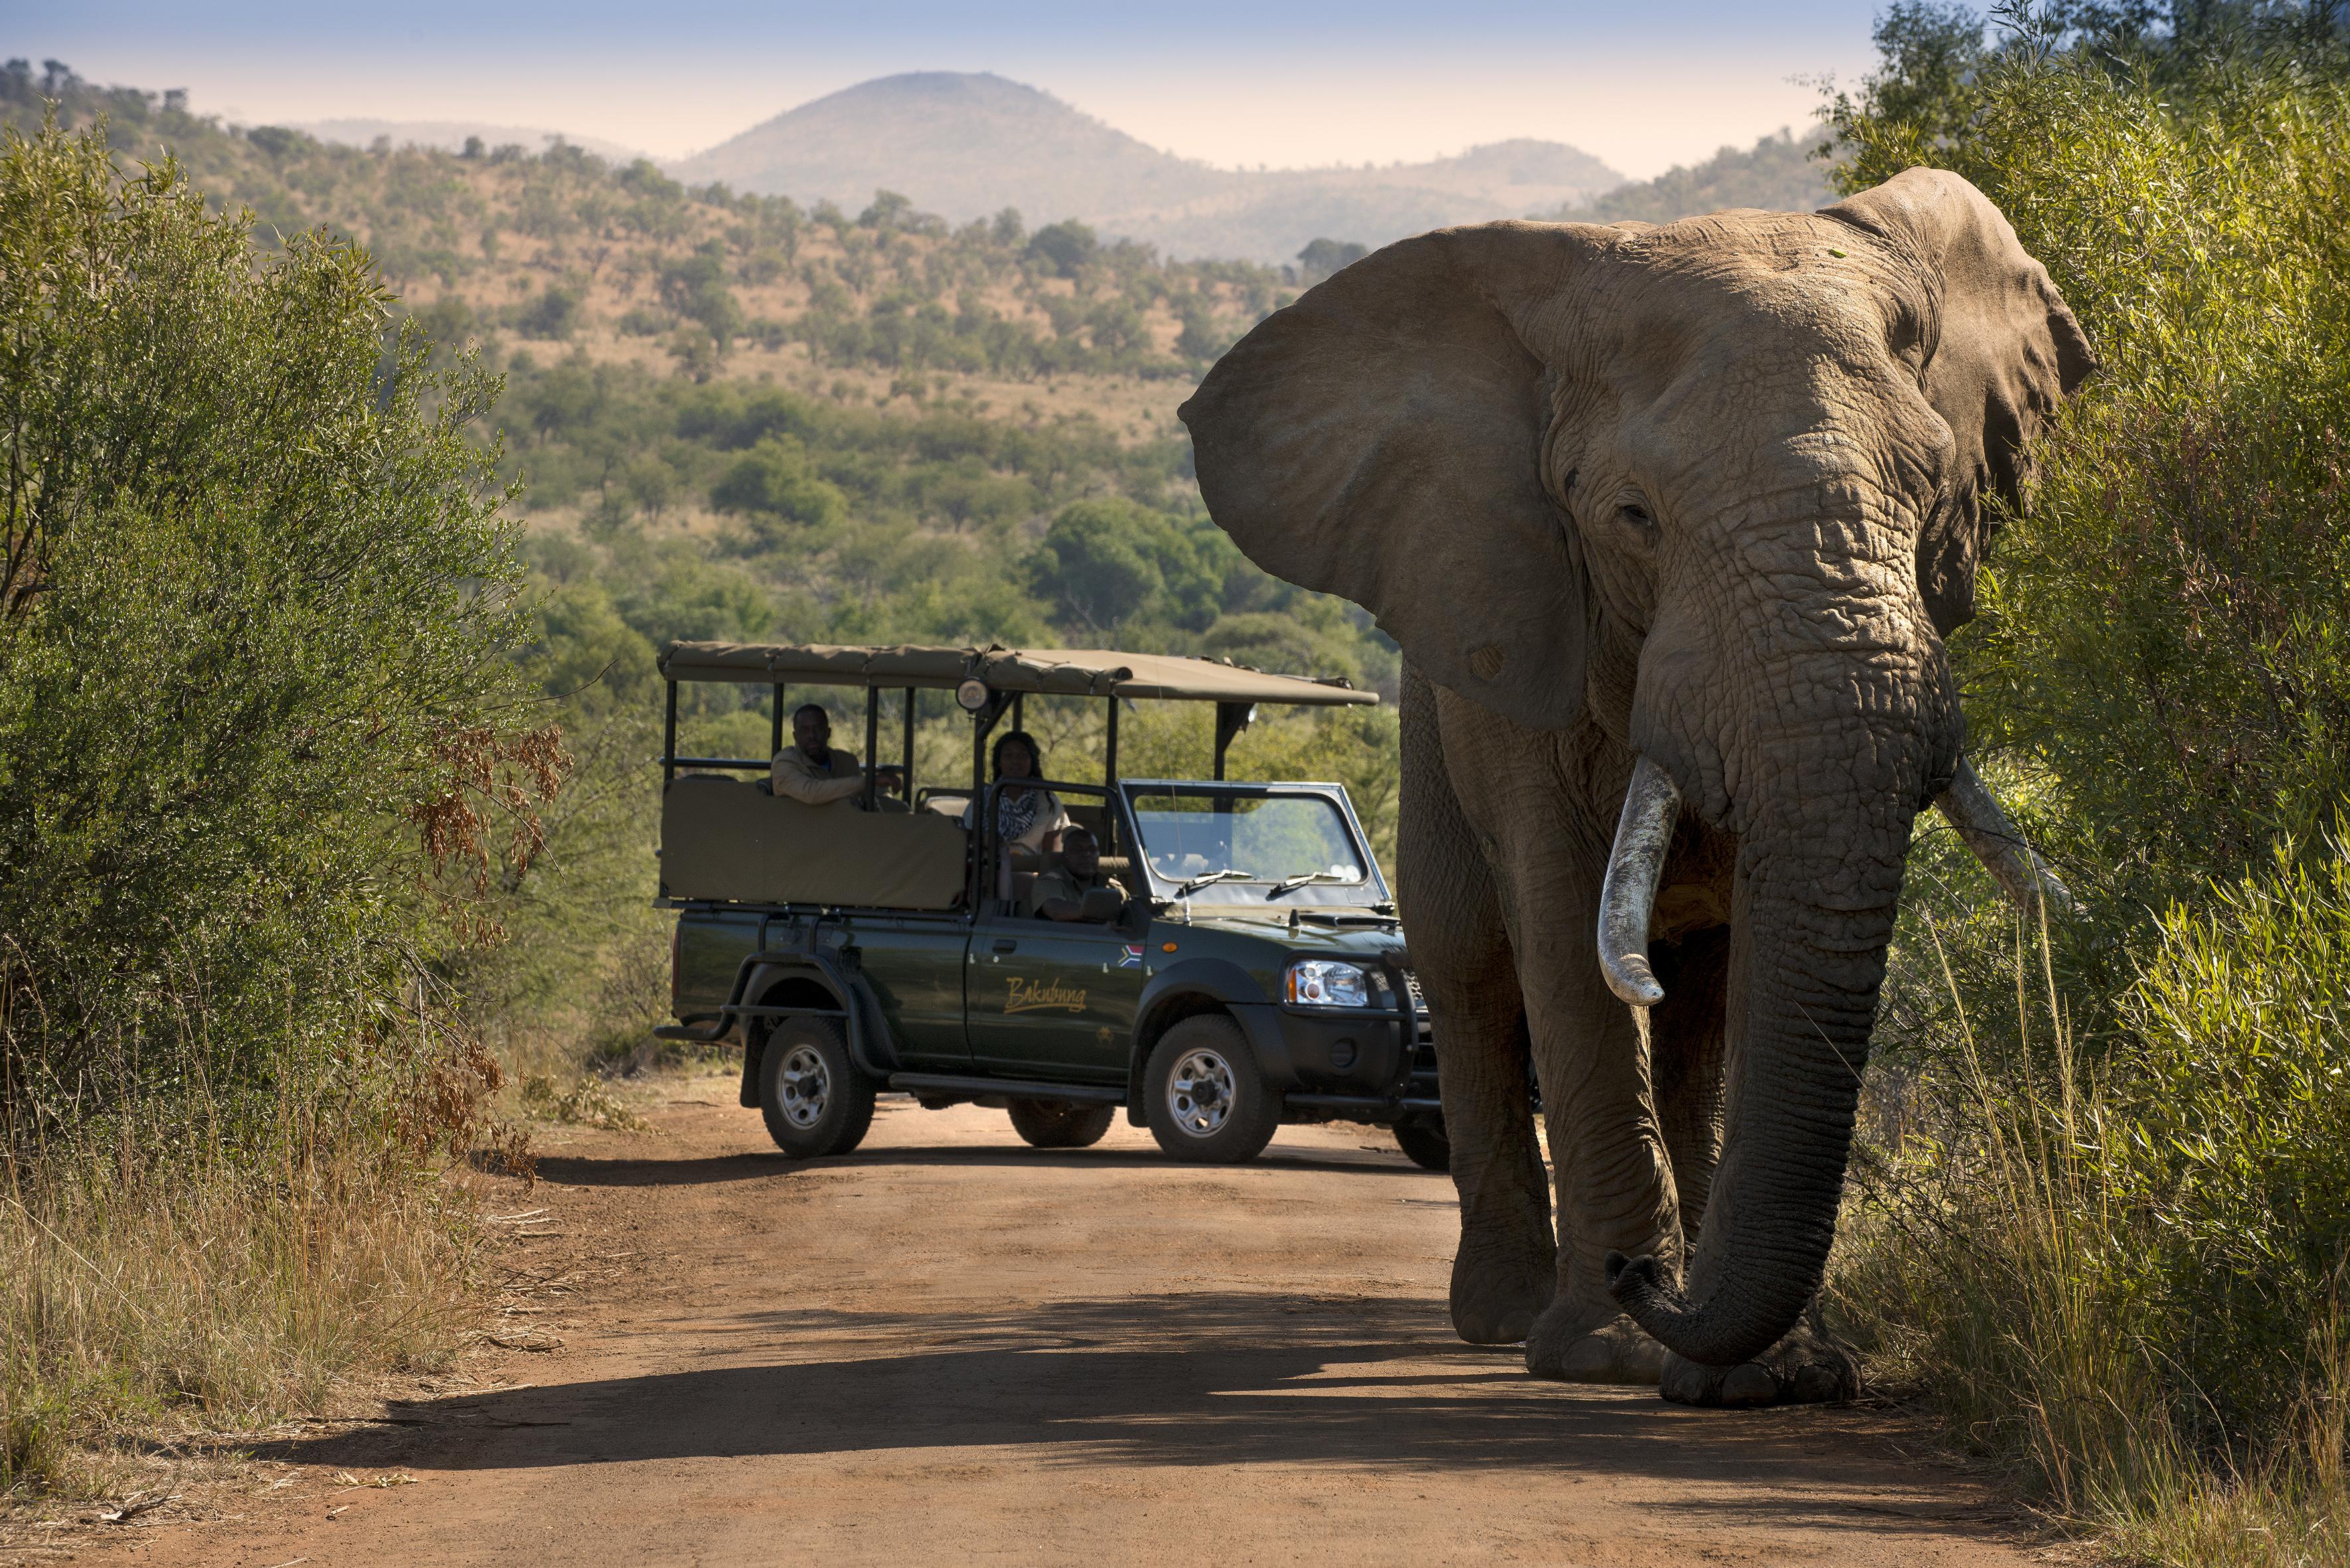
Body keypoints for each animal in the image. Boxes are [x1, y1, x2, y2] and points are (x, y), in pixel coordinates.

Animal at [1184, 171, 2086, 1410]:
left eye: (1926, 495)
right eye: (1631, 518)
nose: (1636, 1277)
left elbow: (1752, 961)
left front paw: (1767, 1373)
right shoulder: (1517, 633)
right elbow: (1564, 936)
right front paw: (1608, 1351)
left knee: (1695, 999)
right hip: (1432, 710)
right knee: (1467, 967)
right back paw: (1503, 1316)